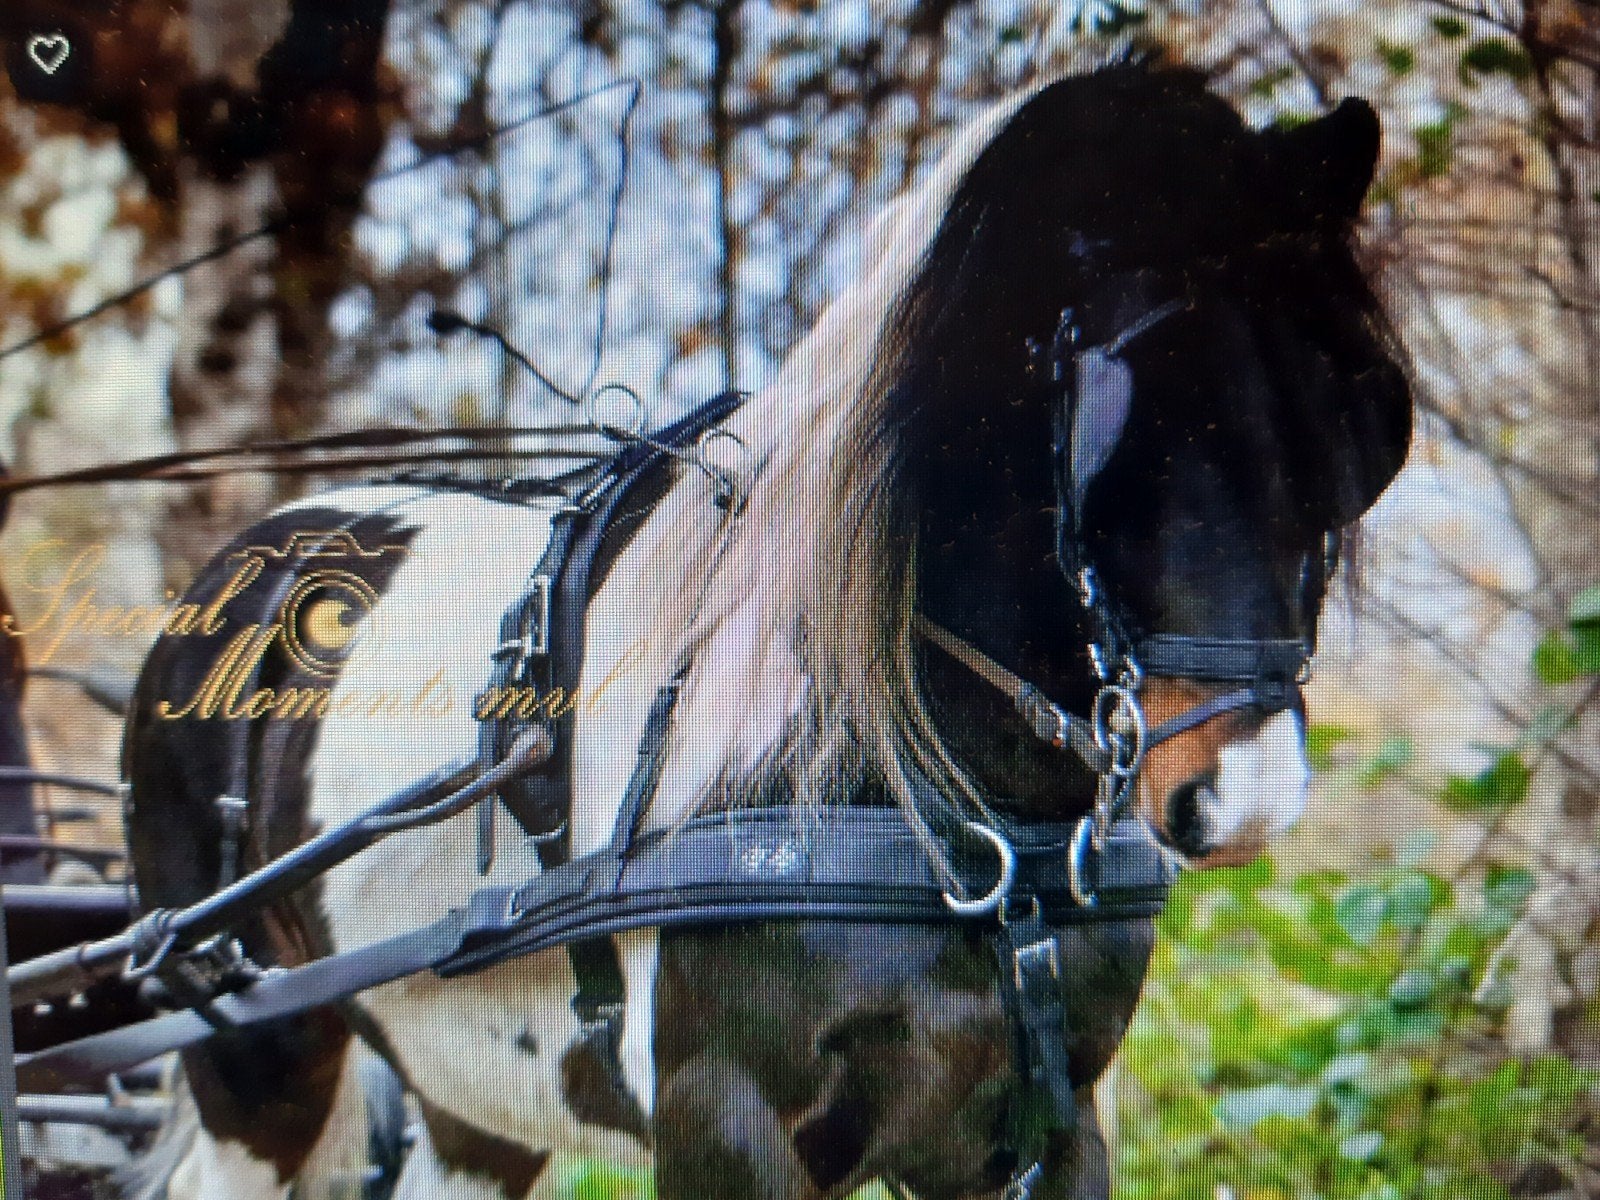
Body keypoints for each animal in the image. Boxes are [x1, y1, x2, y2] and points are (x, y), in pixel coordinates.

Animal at [118, 60, 1412, 1200]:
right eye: (1118, 442)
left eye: (1356, 433)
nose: (1242, 796)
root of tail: (243, 564)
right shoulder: (722, 1122)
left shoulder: (1044, 1124)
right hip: (254, 1056)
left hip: (473, 1090)